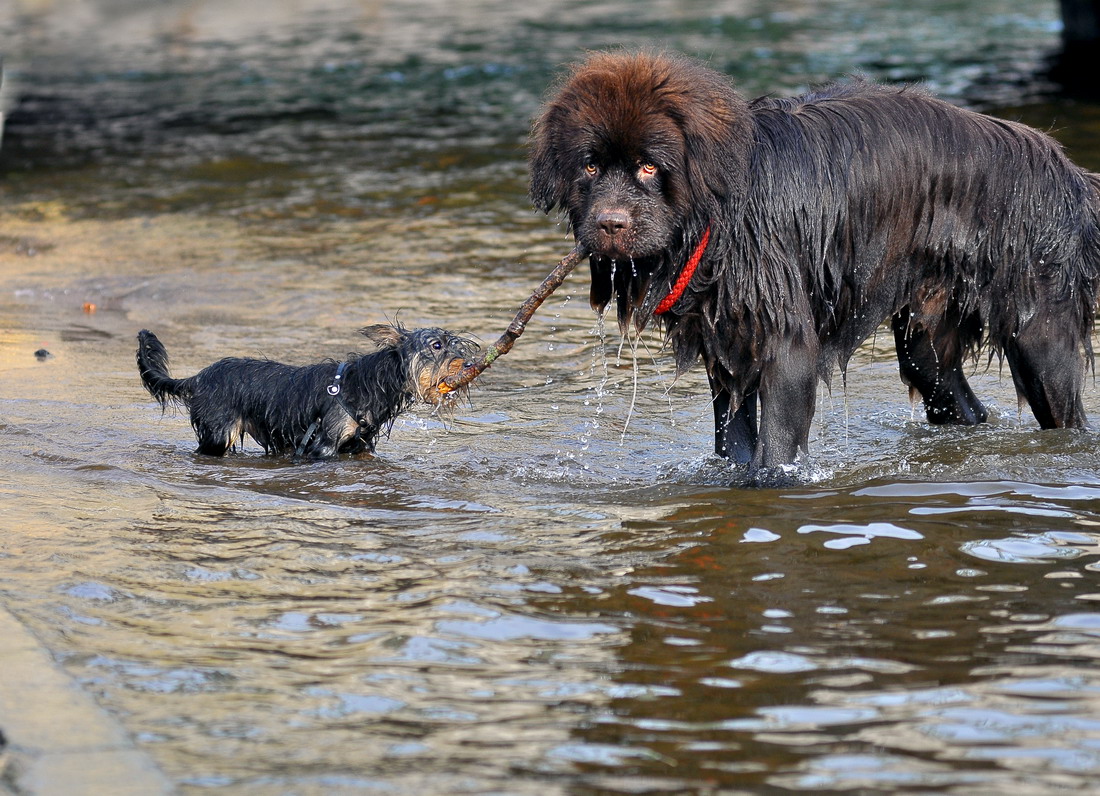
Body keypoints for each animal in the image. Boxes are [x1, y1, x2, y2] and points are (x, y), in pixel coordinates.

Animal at [530, 51, 1100, 472]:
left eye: (650, 167)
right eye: (590, 166)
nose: (609, 223)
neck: (717, 218)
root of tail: (1067, 170)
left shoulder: (786, 345)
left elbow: (775, 452)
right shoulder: (727, 349)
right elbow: (735, 442)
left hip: (1040, 334)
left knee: (1066, 412)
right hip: (925, 339)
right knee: (959, 400)